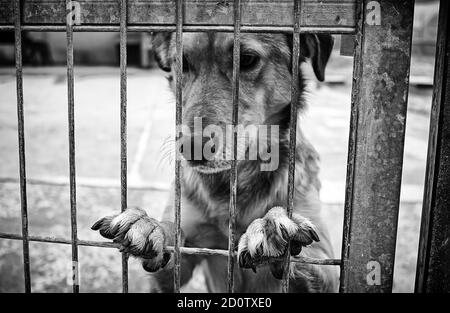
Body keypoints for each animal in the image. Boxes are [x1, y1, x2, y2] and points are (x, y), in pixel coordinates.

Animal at [91, 31, 338, 292]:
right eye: (182, 62)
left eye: (247, 59)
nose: (191, 147)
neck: (232, 183)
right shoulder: (184, 261)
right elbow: (174, 241)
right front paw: (151, 226)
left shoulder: (325, 262)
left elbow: (306, 258)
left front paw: (271, 228)